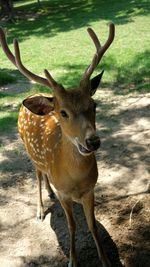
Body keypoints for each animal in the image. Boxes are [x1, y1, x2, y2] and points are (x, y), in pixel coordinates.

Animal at [0, 23, 115, 267]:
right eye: (63, 113)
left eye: (94, 104)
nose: (92, 141)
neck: (75, 181)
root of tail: (33, 94)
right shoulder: (65, 194)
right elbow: (72, 226)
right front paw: (72, 260)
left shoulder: (91, 189)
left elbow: (92, 225)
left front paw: (105, 259)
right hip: (29, 151)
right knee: (37, 175)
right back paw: (40, 210)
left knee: (45, 175)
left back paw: (49, 193)